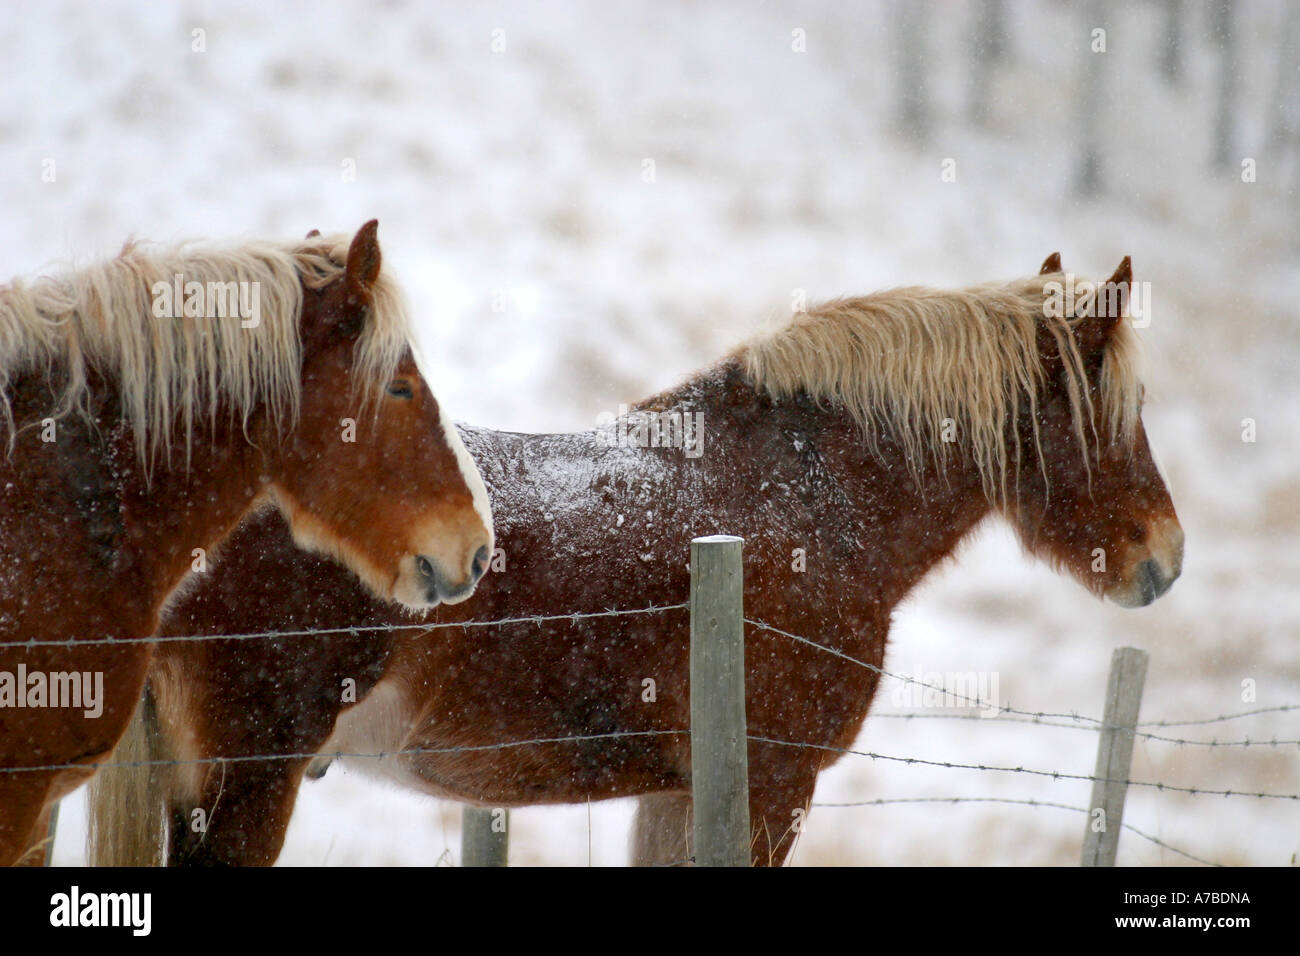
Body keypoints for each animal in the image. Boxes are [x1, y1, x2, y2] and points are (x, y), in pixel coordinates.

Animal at [89, 253, 1182, 866]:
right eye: (1117, 408)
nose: (1162, 555)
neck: (807, 498)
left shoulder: (678, 793)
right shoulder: (770, 788)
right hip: (244, 782)